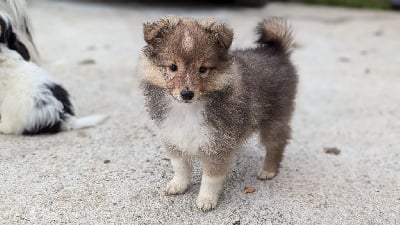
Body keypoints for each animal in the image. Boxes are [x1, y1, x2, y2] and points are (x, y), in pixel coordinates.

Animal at [138, 16, 296, 211]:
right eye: (173, 67)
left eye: (203, 69)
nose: (187, 94)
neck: (188, 109)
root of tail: (276, 51)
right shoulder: (173, 135)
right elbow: (180, 167)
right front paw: (178, 185)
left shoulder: (218, 144)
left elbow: (211, 178)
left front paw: (206, 200)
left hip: (274, 119)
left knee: (277, 144)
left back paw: (268, 170)